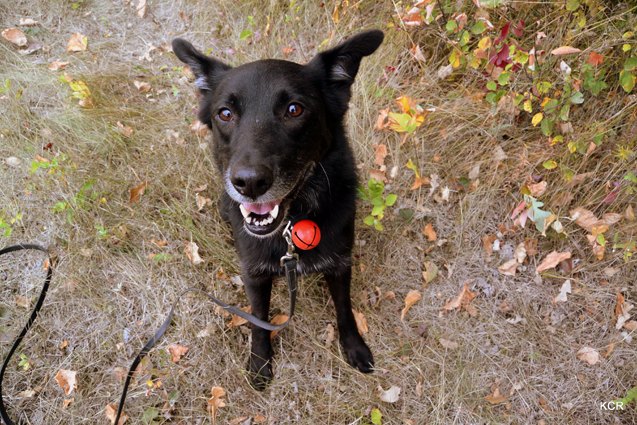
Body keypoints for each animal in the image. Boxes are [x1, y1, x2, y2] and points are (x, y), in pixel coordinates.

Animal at [171, 29, 386, 388]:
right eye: (225, 114)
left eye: (294, 109)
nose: (249, 183)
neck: (292, 223)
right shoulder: (255, 273)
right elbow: (259, 319)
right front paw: (260, 361)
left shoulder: (340, 264)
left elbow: (344, 309)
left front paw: (354, 346)